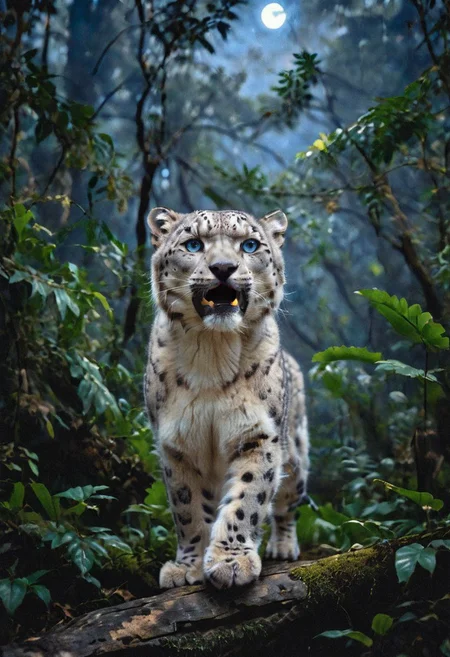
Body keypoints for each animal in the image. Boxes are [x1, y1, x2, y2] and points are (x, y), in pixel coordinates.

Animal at [144, 207, 309, 590]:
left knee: (287, 504)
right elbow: (187, 508)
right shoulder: (175, 444)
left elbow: (248, 497)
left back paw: (283, 546)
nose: (223, 267)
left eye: (249, 244)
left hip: (295, 458)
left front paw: (231, 562)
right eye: (194, 244)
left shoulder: (259, 435)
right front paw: (187, 566)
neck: (212, 355)